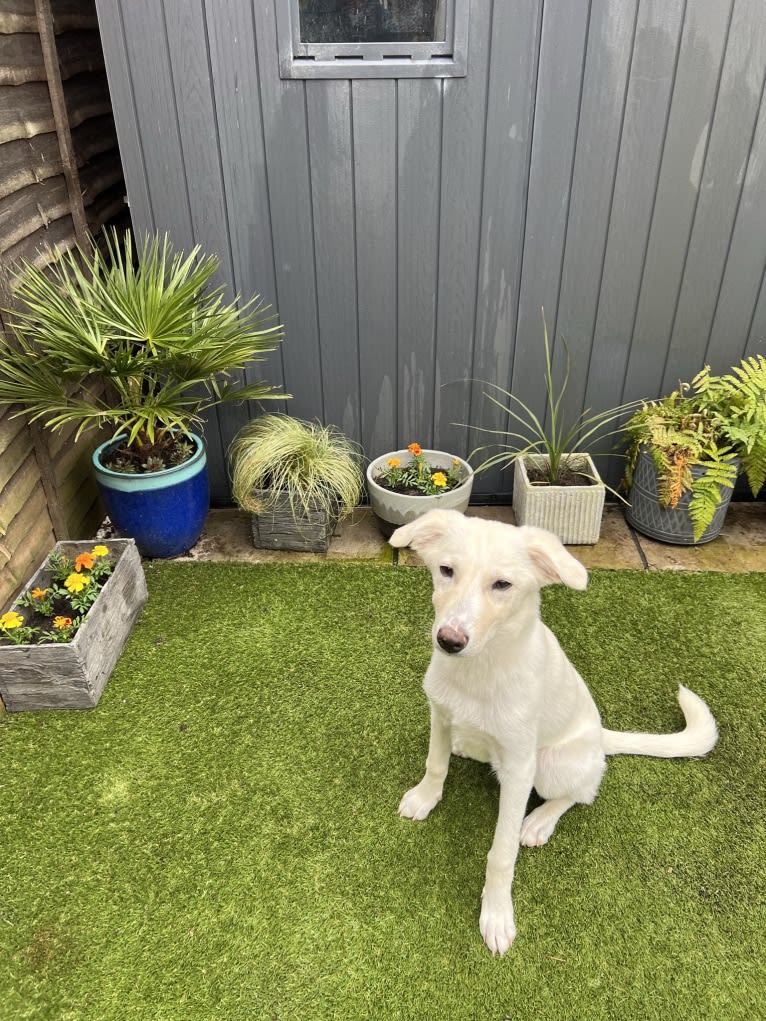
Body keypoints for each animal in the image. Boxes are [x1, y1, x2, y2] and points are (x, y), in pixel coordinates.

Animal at [390, 510, 719, 955]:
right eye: (446, 571)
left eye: (502, 585)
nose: (449, 640)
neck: (479, 670)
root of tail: (600, 736)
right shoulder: (440, 714)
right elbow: (435, 764)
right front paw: (425, 797)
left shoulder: (518, 768)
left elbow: (501, 853)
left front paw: (496, 914)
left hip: (550, 765)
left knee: (584, 790)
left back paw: (539, 821)